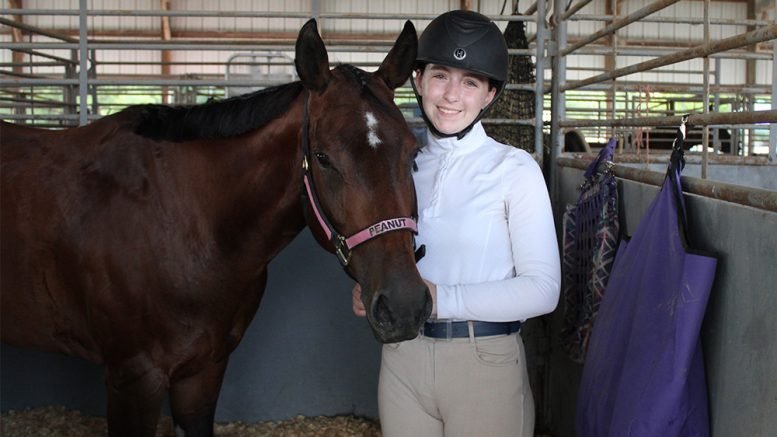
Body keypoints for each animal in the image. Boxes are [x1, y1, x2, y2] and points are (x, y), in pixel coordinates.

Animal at [0, 18, 431, 437]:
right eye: (323, 157)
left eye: (414, 152)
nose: (405, 306)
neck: (183, 221)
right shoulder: (133, 378)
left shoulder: (204, 371)